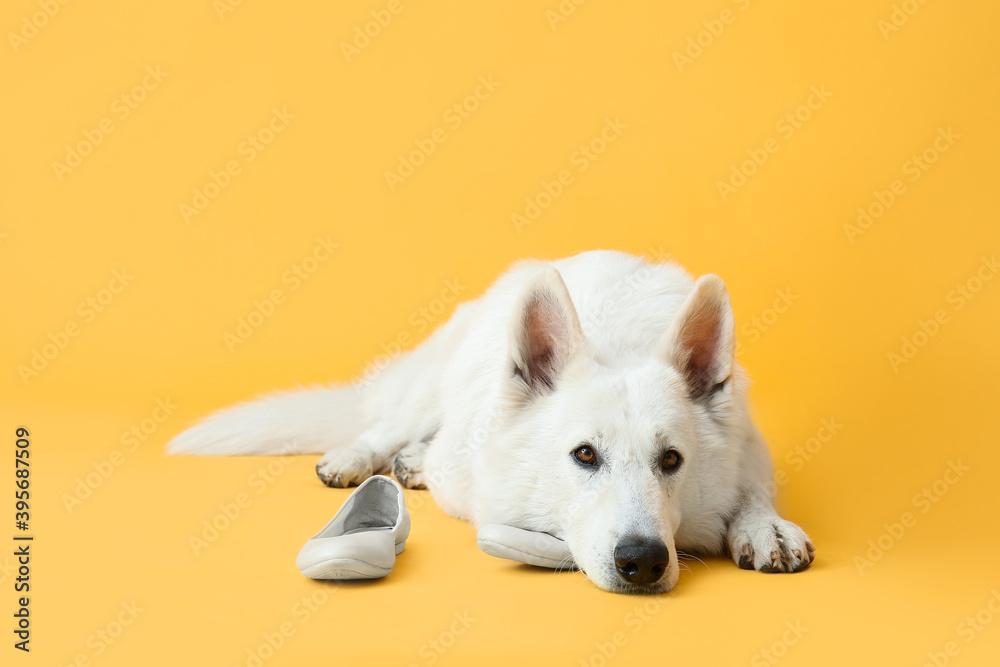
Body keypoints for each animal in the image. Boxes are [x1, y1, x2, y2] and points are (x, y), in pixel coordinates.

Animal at [170, 250, 812, 596]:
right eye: (585, 455)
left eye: (672, 460)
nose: (644, 562)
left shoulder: (748, 446)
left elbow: (754, 490)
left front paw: (764, 526)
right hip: (430, 385)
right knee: (387, 423)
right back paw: (362, 457)